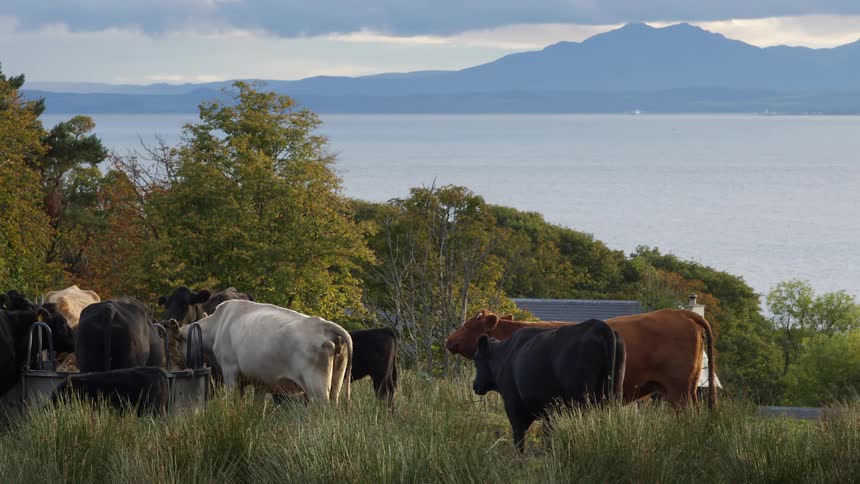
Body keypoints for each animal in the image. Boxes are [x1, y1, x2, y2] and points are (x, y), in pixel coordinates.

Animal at [170, 300, 352, 405]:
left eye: (176, 345)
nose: (178, 367)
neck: (218, 324)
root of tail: (323, 324)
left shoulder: (230, 371)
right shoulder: (260, 381)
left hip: (317, 386)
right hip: (336, 382)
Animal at [472, 319, 625, 452]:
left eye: (477, 360)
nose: (475, 385)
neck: (504, 355)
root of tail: (599, 326)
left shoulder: (512, 405)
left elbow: (519, 439)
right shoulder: (548, 410)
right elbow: (547, 435)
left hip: (581, 400)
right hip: (614, 394)